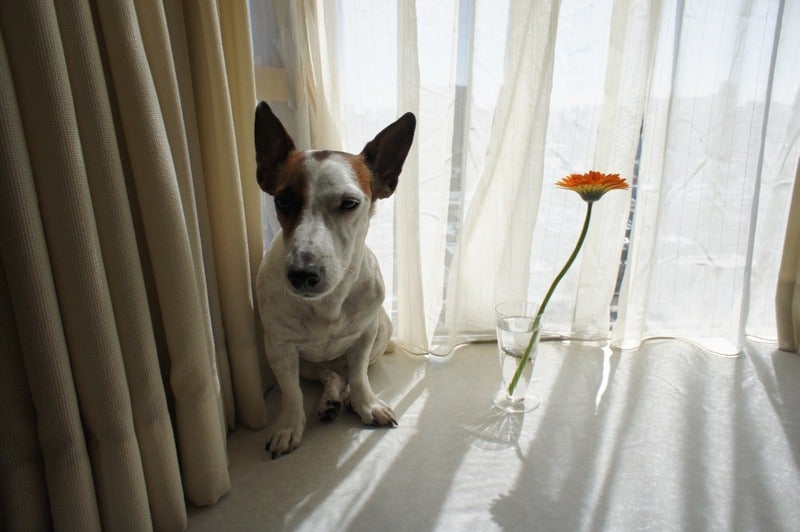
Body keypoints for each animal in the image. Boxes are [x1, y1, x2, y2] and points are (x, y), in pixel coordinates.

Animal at [254, 102, 416, 459]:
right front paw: (289, 425)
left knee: (349, 374)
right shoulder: (279, 348)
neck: (328, 303)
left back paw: (345, 397)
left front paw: (366, 403)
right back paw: (330, 399)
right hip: (301, 359)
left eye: (349, 203)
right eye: (282, 201)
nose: (302, 274)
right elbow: (291, 392)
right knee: (329, 374)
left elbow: (359, 375)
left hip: (383, 330)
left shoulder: (366, 333)